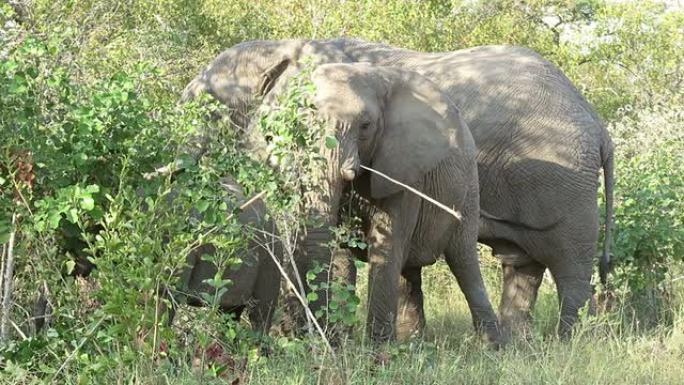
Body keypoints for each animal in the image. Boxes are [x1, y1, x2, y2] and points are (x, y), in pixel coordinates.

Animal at [180, 37, 616, 338]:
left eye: (209, 111)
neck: (283, 48)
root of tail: (597, 124)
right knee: (522, 265)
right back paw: (520, 345)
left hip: (565, 187)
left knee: (570, 267)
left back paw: (569, 345)